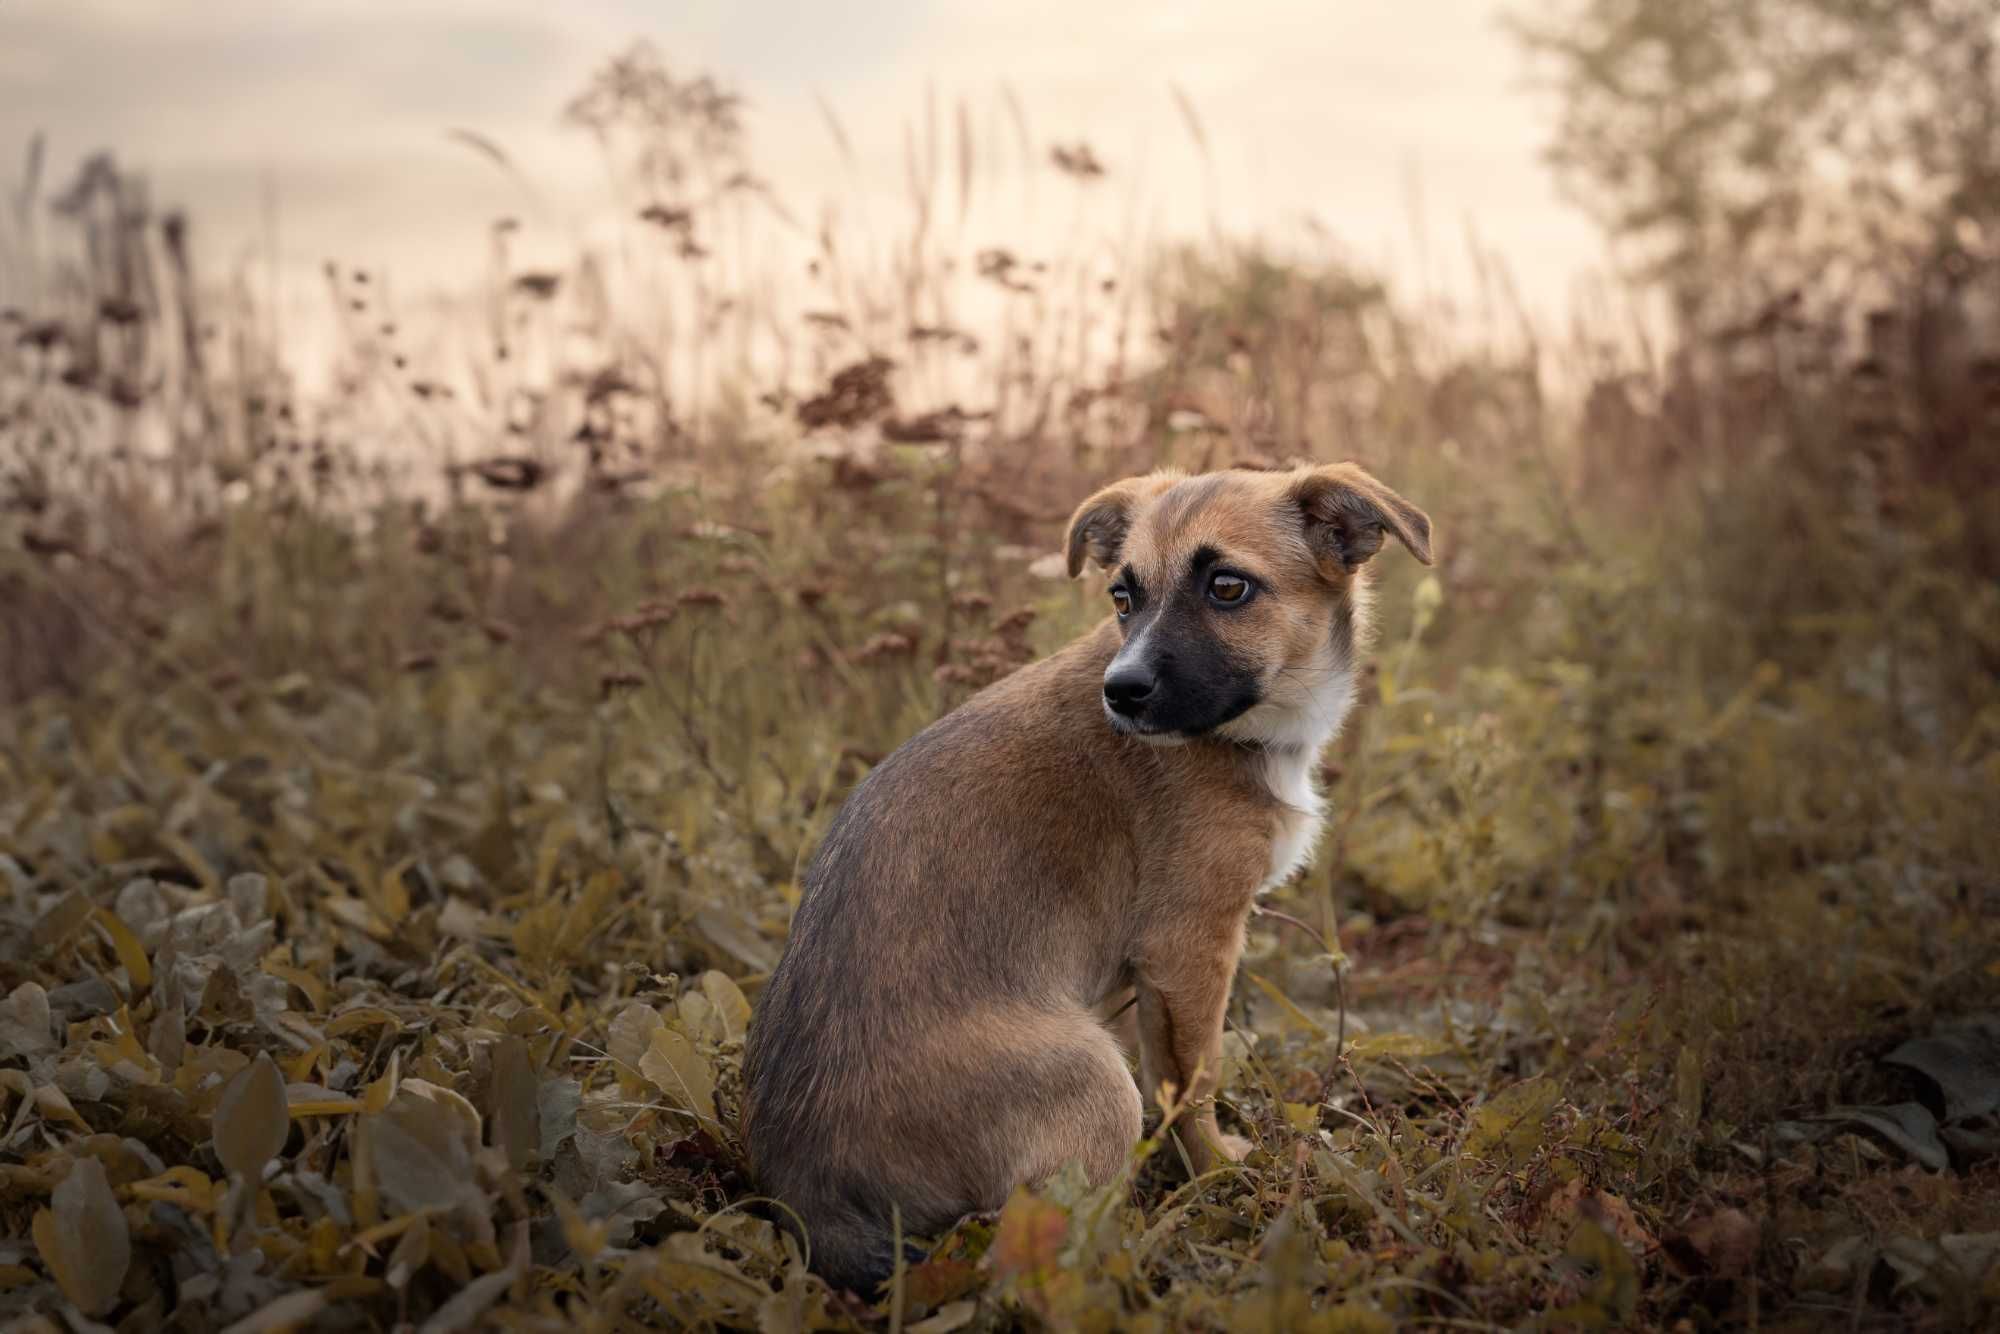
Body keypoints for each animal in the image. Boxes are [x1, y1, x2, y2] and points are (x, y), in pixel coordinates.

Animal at [744, 462, 1432, 1296]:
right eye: (1122, 597)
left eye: (1228, 587)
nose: (1122, 692)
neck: (1249, 731)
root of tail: (810, 1203)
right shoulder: (1188, 948)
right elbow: (1190, 1085)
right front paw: (1215, 1173)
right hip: (1097, 1082)